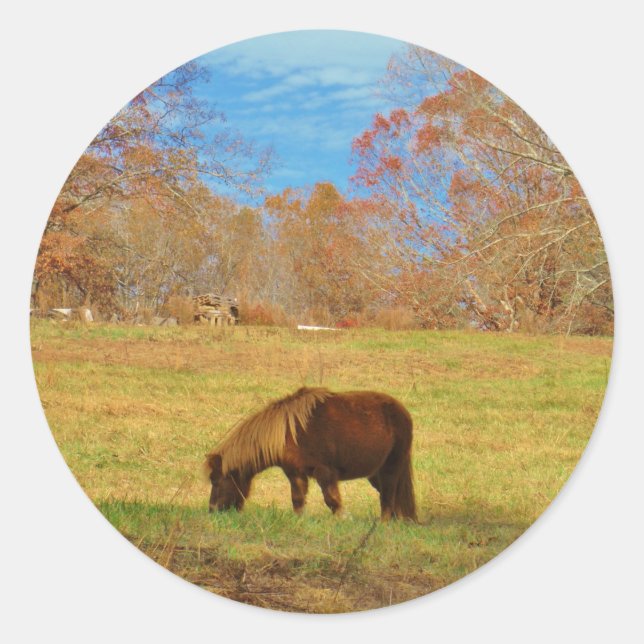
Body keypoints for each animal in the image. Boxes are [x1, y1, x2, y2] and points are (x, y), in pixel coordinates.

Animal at [204, 387, 417, 521]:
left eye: (217, 481)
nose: (212, 511)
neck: (288, 433)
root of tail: (403, 412)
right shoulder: (295, 473)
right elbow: (298, 500)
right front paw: (300, 522)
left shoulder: (325, 472)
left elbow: (332, 500)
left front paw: (342, 519)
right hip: (374, 473)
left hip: (391, 468)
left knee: (388, 498)